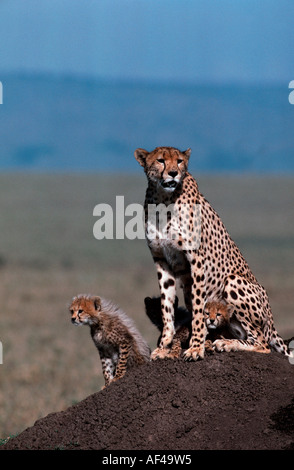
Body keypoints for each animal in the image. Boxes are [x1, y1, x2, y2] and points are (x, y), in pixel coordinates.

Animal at [134, 146, 288, 360]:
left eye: (179, 161)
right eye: (160, 160)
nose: (173, 173)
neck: (163, 199)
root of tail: (272, 320)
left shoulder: (197, 259)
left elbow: (199, 308)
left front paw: (196, 347)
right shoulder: (161, 259)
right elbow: (167, 305)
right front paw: (165, 346)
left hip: (233, 281)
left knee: (262, 343)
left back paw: (226, 344)